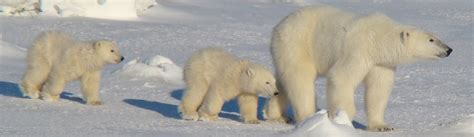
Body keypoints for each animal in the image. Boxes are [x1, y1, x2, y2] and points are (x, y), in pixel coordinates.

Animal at [264, 5, 454, 132]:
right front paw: (342, 119)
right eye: (431, 39)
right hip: (297, 44)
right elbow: (341, 78)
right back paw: (307, 117)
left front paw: (382, 126)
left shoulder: (381, 63)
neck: (378, 38)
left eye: (436, 37)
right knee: (300, 80)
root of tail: (279, 26)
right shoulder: (358, 50)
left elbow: (378, 90)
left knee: (283, 82)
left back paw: (276, 114)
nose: (449, 50)